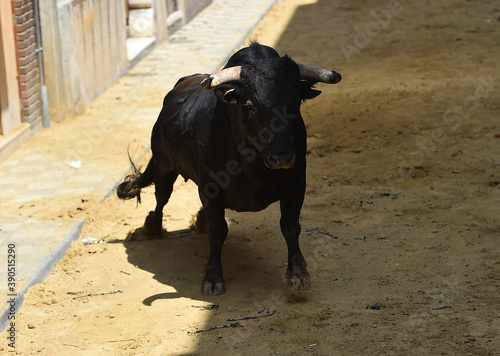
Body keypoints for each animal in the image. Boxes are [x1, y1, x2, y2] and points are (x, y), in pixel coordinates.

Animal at [117, 42, 340, 294]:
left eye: (295, 103)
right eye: (249, 105)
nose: (282, 157)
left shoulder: (296, 180)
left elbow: (290, 225)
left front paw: (298, 273)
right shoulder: (210, 186)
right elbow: (218, 230)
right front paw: (213, 277)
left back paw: (198, 219)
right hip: (164, 164)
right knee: (162, 195)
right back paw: (152, 226)